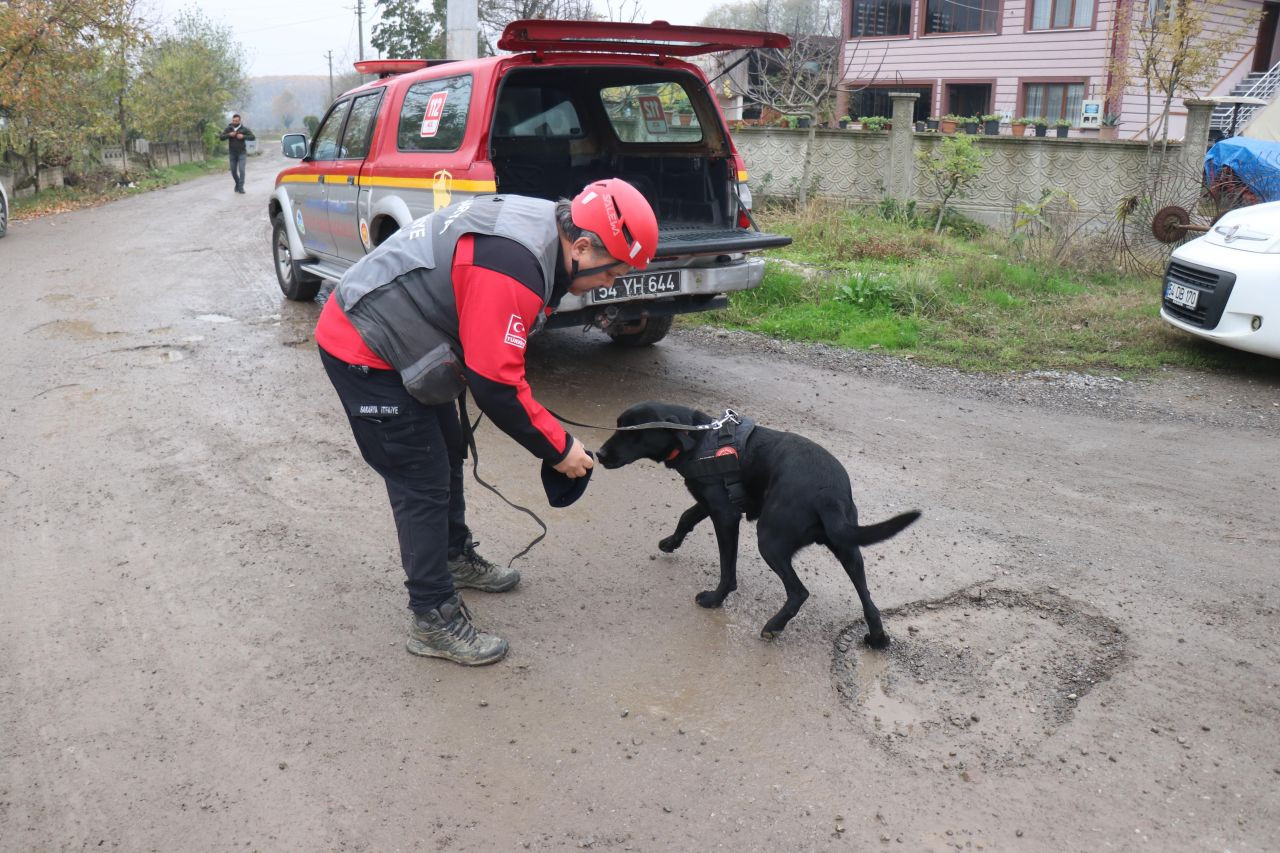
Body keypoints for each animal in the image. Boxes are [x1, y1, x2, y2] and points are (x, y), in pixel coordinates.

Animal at [599, 399, 921, 645]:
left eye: (630, 433)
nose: (600, 454)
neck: (700, 439)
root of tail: (827, 491)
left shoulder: (725, 515)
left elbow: (727, 567)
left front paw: (716, 598)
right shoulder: (713, 501)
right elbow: (687, 515)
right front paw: (670, 542)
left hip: (770, 540)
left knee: (799, 592)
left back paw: (773, 626)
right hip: (848, 547)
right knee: (868, 600)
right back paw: (877, 638)